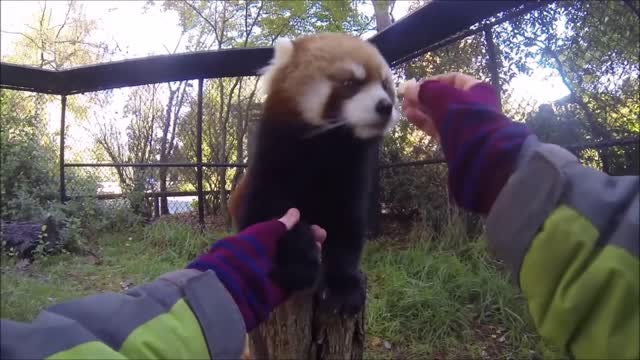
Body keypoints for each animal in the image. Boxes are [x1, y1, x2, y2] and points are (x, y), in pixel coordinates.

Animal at [230, 33, 398, 316]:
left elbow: (347, 228)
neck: (325, 147)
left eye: (385, 86)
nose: (385, 105)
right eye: (350, 83)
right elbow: (269, 215)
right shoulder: (270, 167)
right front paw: (299, 261)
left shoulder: (351, 177)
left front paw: (344, 285)